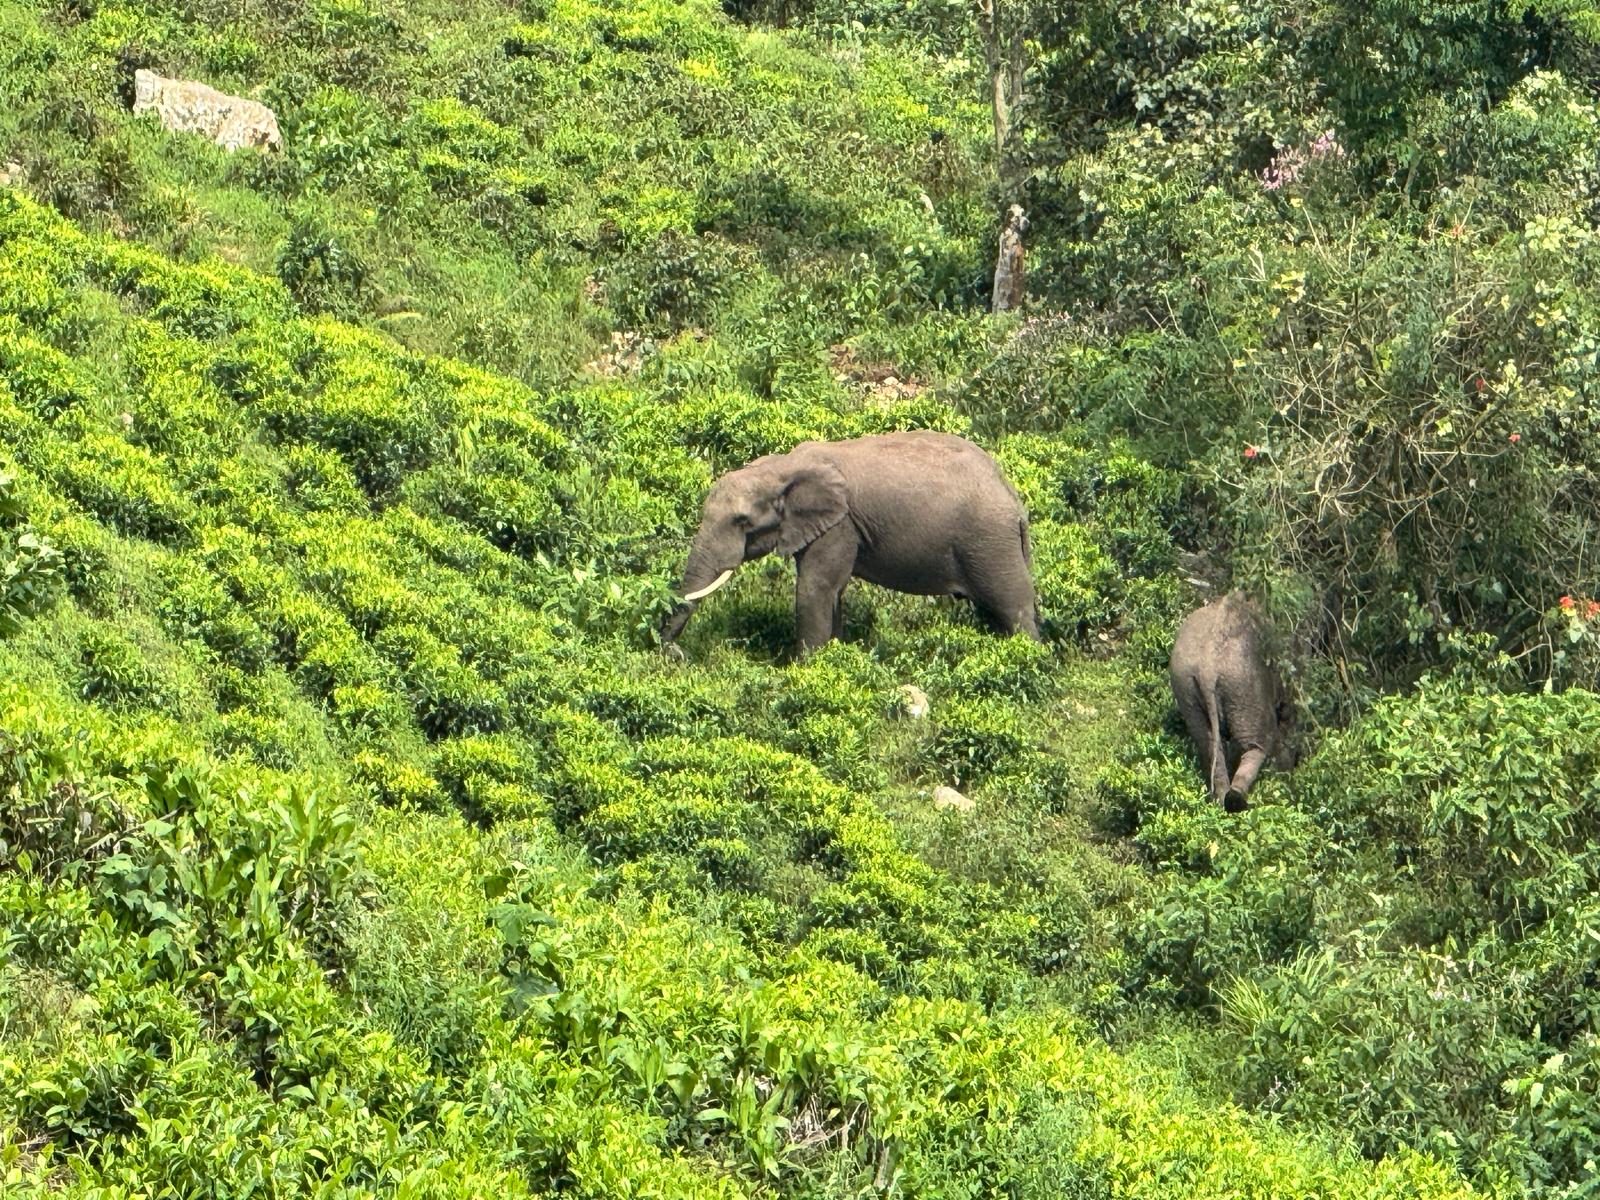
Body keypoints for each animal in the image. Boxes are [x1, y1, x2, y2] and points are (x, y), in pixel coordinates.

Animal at [660, 431, 1040, 654]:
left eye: (742, 522)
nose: (672, 653)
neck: (783, 466)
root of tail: (1015, 502)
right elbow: (833, 592)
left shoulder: (840, 524)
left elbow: (815, 588)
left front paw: (807, 669)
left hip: (989, 541)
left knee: (1013, 607)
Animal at [1168, 591, 1297, 810]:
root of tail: (1207, 669)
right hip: (1244, 685)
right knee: (1257, 744)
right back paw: (1238, 801)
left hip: (1186, 688)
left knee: (1211, 746)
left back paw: (1221, 802)